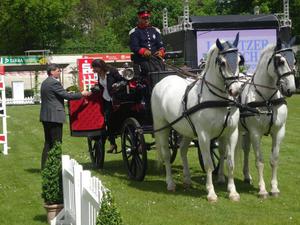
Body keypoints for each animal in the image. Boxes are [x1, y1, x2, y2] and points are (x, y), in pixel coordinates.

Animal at [151, 33, 243, 202]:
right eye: (222, 62)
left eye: (240, 60)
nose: (236, 90)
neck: (217, 100)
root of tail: (162, 81)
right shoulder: (204, 136)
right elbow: (208, 164)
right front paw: (211, 193)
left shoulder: (231, 133)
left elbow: (230, 162)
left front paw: (232, 192)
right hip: (163, 127)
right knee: (166, 154)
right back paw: (170, 183)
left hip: (186, 130)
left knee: (182, 150)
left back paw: (187, 180)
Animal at [220, 37, 298, 198]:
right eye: (280, 61)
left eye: (294, 60)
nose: (291, 89)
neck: (267, 99)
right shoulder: (256, 133)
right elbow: (259, 160)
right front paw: (262, 190)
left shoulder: (279, 132)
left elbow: (274, 159)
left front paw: (274, 188)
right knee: (223, 151)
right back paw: (221, 177)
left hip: (243, 131)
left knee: (245, 150)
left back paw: (246, 176)